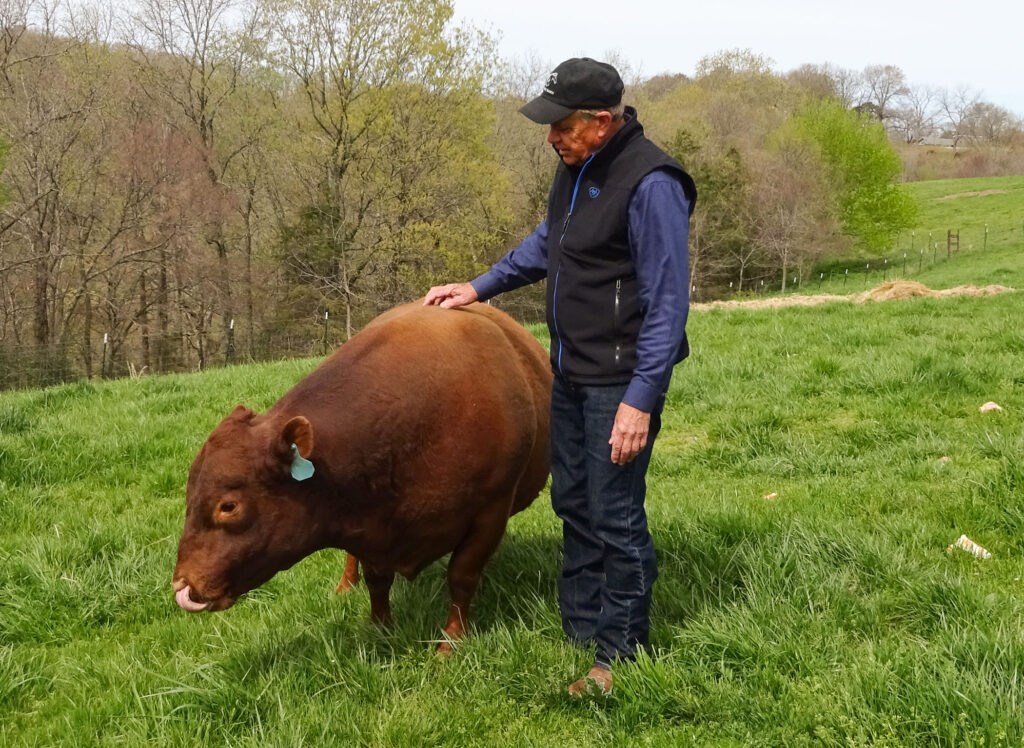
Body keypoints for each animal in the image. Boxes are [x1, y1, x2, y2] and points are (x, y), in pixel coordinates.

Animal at [172, 299, 552, 651]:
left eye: (228, 506)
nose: (181, 585)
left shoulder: (491, 509)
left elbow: (461, 575)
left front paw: (452, 641)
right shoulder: (368, 523)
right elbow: (376, 579)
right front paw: (381, 628)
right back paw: (345, 585)